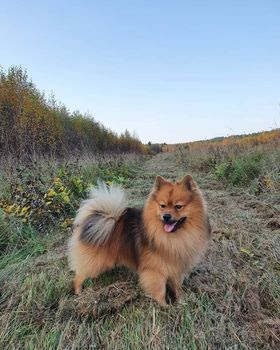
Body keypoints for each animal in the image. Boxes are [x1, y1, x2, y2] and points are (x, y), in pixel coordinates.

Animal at [69, 175, 211, 306]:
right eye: (162, 205)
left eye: (178, 206)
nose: (166, 216)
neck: (173, 238)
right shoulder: (156, 271)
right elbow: (160, 291)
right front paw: (164, 307)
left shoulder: (175, 267)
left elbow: (177, 287)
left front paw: (181, 302)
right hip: (95, 262)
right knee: (79, 275)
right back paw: (78, 292)